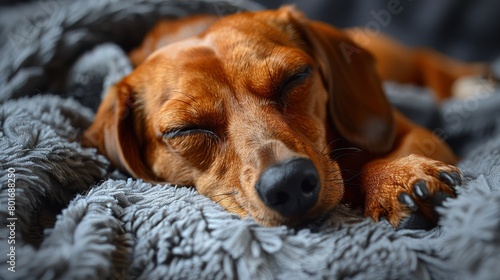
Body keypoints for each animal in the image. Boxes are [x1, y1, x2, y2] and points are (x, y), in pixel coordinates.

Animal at [84, 6, 490, 230]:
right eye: (186, 129)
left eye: (294, 78)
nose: (290, 183)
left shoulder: (411, 131)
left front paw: (395, 177)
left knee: (429, 61)